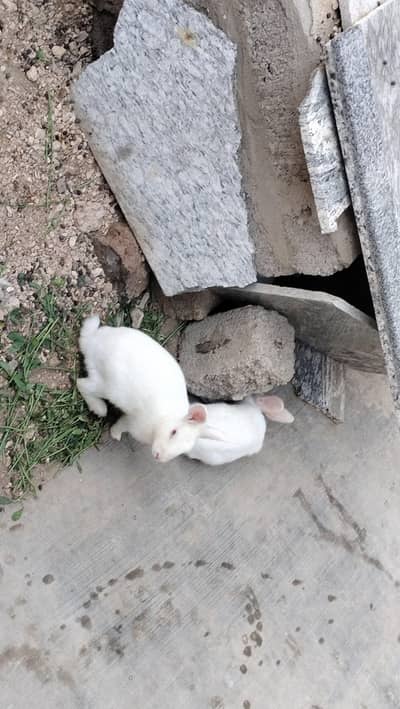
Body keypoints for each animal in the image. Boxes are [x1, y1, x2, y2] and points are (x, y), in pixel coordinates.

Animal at [77, 315, 208, 462]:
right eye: (173, 432)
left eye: (183, 450)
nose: (158, 456)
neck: (163, 420)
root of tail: (92, 341)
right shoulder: (133, 423)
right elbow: (121, 425)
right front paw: (115, 435)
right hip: (107, 386)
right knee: (81, 384)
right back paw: (100, 409)